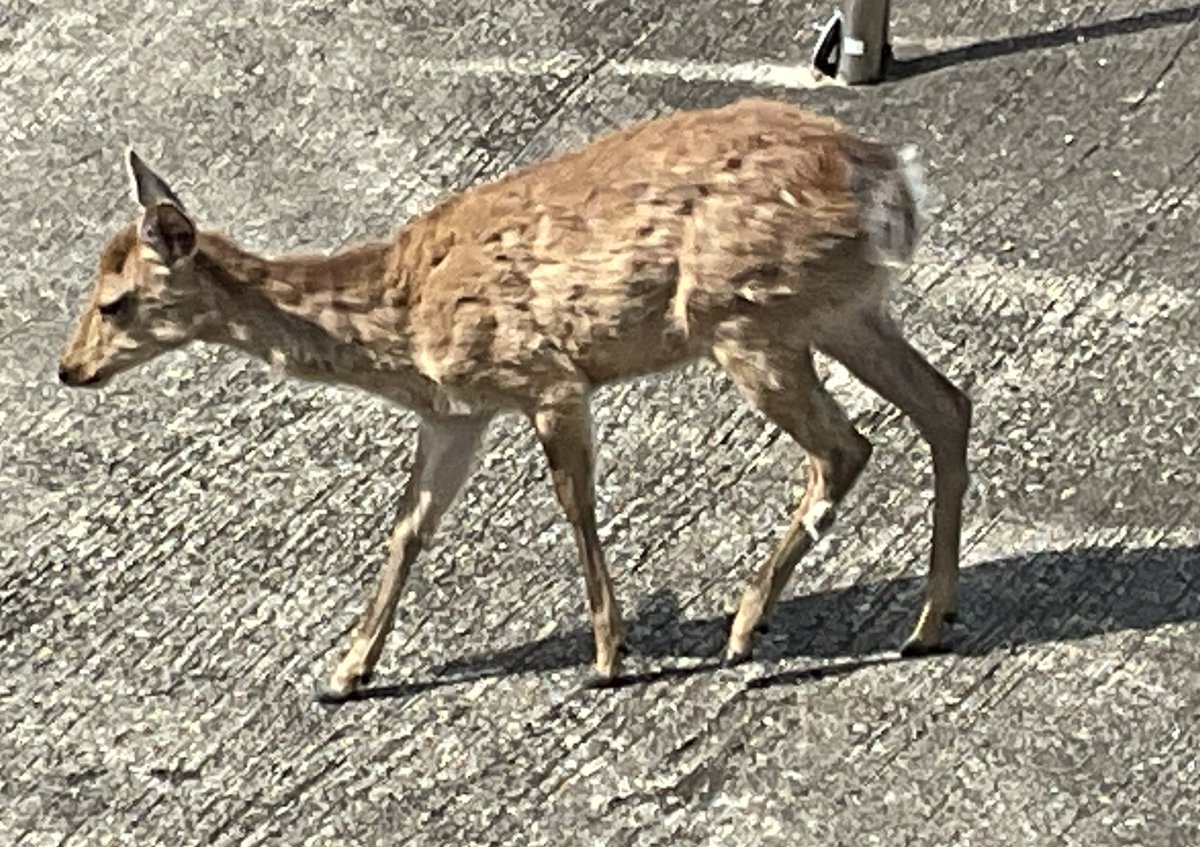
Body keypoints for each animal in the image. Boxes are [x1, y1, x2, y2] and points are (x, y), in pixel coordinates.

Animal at [57, 97, 971, 702]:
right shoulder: (454, 413)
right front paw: (346, 672)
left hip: (745, 317)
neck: (403, 322)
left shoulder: (544, 375)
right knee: (945, 404)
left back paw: (746, 630)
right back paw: (927, 622)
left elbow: (575, 504)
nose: (69, 368)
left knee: (845, 446)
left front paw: (608, 654)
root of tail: (891, 181)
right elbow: (408, 528)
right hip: (841, 309)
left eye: (116, 302)